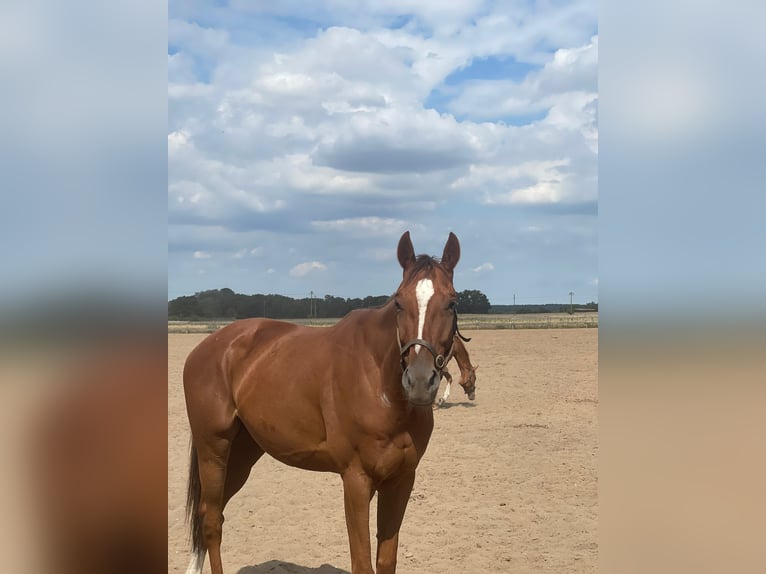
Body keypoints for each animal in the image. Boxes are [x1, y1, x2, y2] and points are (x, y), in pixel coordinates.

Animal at [186, 232, 462, 572]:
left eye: (452, 302)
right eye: (399, 302)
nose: (420, 381)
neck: (382, 387)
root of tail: (210, 346)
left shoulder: (401, 480)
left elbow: (386, 561)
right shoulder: (356, 480)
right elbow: (362, 562)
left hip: (241, 452)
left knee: (211, 514)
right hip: (213, 448)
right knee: (211, 520)